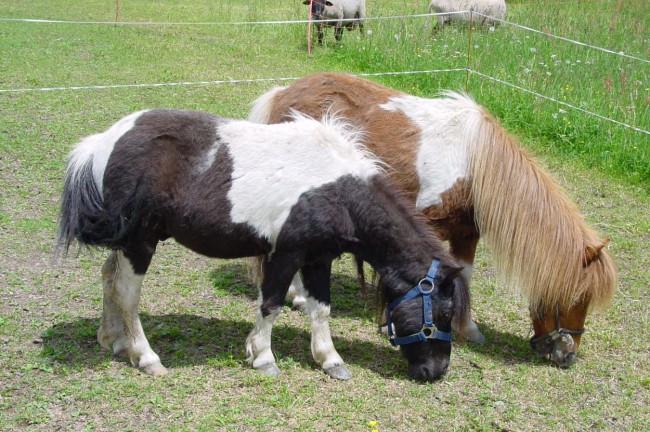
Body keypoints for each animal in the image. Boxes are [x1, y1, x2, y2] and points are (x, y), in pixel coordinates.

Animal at [56, 108, 470, 382]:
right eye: (445, 312)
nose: (436, 371)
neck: (336, 189)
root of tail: (101, 144)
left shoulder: (317, 258)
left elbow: (321, 309)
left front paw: (330, 359)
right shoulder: (285, 254)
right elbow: (270, 304)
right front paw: (263, 356)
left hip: (126, 241)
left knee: (108, 277)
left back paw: (112, 339)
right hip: (140, 243)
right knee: (126, 294)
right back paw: (144, 356)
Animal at [248, 72, 617, 368]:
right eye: (577, 298)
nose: (566, 355)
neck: (473, 164)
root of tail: (282, 93)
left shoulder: (467, 233)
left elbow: (464, 275)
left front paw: (468, 328)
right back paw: (296, 295)